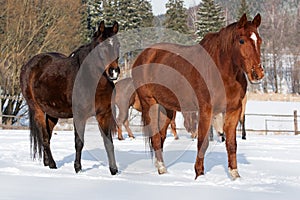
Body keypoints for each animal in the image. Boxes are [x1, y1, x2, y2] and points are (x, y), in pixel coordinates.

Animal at [19, 20, 120, 175]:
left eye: (118, 45)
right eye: (101, 46)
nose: (114, 72)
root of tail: (27, 65)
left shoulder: (103, 114)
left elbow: (109, 143)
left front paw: (114, 171)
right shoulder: (79, 115)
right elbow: (79, 142)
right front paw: (78, 168)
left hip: (52, 114)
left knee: (47, 136)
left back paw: (47, 163)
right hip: (38, 110)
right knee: (45, 138)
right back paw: (52, 165)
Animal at [132, 14, 264, 180]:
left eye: (259, 40)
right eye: (242, 41)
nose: (257, 74)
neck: (222, 71)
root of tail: (143, 57)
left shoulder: (234, 110)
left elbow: (231, 143)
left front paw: (235, 175)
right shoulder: (206, 110)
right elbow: (203, 142)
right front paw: (199, 174)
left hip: (167, 108)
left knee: (161, 136)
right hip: (150, 103)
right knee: (156, 137)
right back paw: (162, 169)